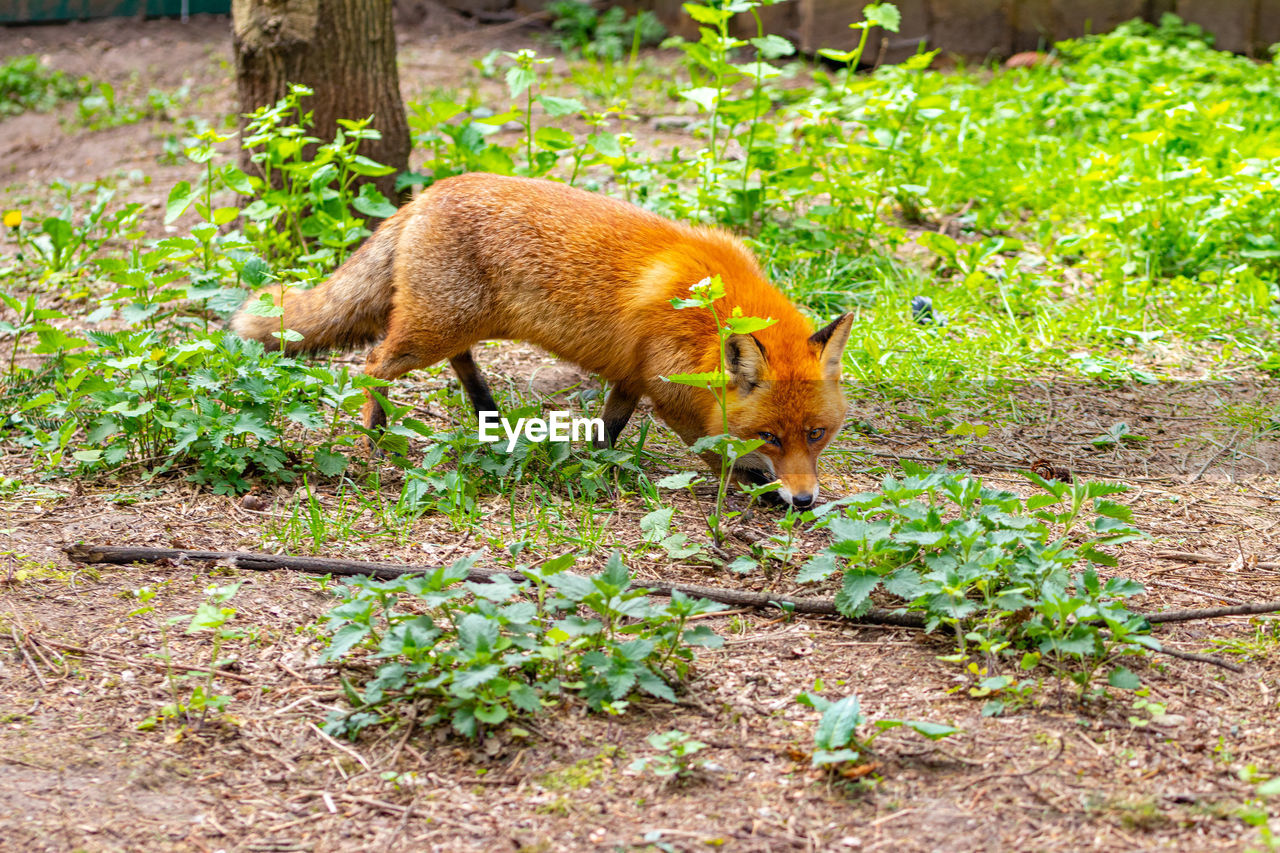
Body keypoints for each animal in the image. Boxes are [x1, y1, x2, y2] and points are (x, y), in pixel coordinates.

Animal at [232, 171, 849, 504]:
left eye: (817, 434)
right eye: (770, 436)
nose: (803, 501)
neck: (709, 310)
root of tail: (425, 194)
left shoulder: (631, 373)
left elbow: (611, 426)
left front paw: (599, 465)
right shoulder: (667, 387)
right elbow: (710, 443)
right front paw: (749, 480)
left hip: (456, 323)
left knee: (460, 363)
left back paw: (488, 414)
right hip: (432, 330)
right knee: (373, 363)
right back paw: (375, 432)